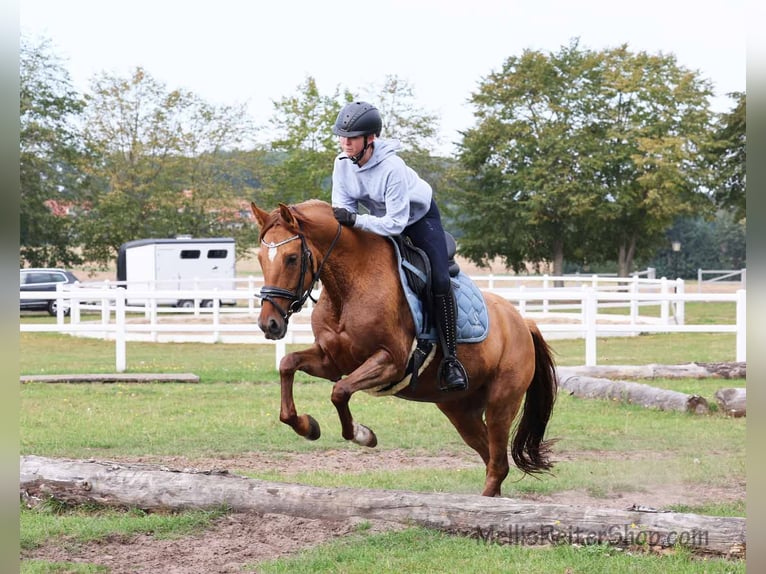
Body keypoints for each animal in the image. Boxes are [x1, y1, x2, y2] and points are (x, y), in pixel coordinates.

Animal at [250, 199, 558, 497]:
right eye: (260, 259)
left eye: (291, 258)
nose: (269, 324)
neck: (349, 288)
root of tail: (522, 321)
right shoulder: (332, 361)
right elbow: (288, 366)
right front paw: (308, 427)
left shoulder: (391, 363)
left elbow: (340, 391)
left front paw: (363, 435)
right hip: (460, 410)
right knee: (490, 456)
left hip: (500, 403)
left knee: (498, 462)